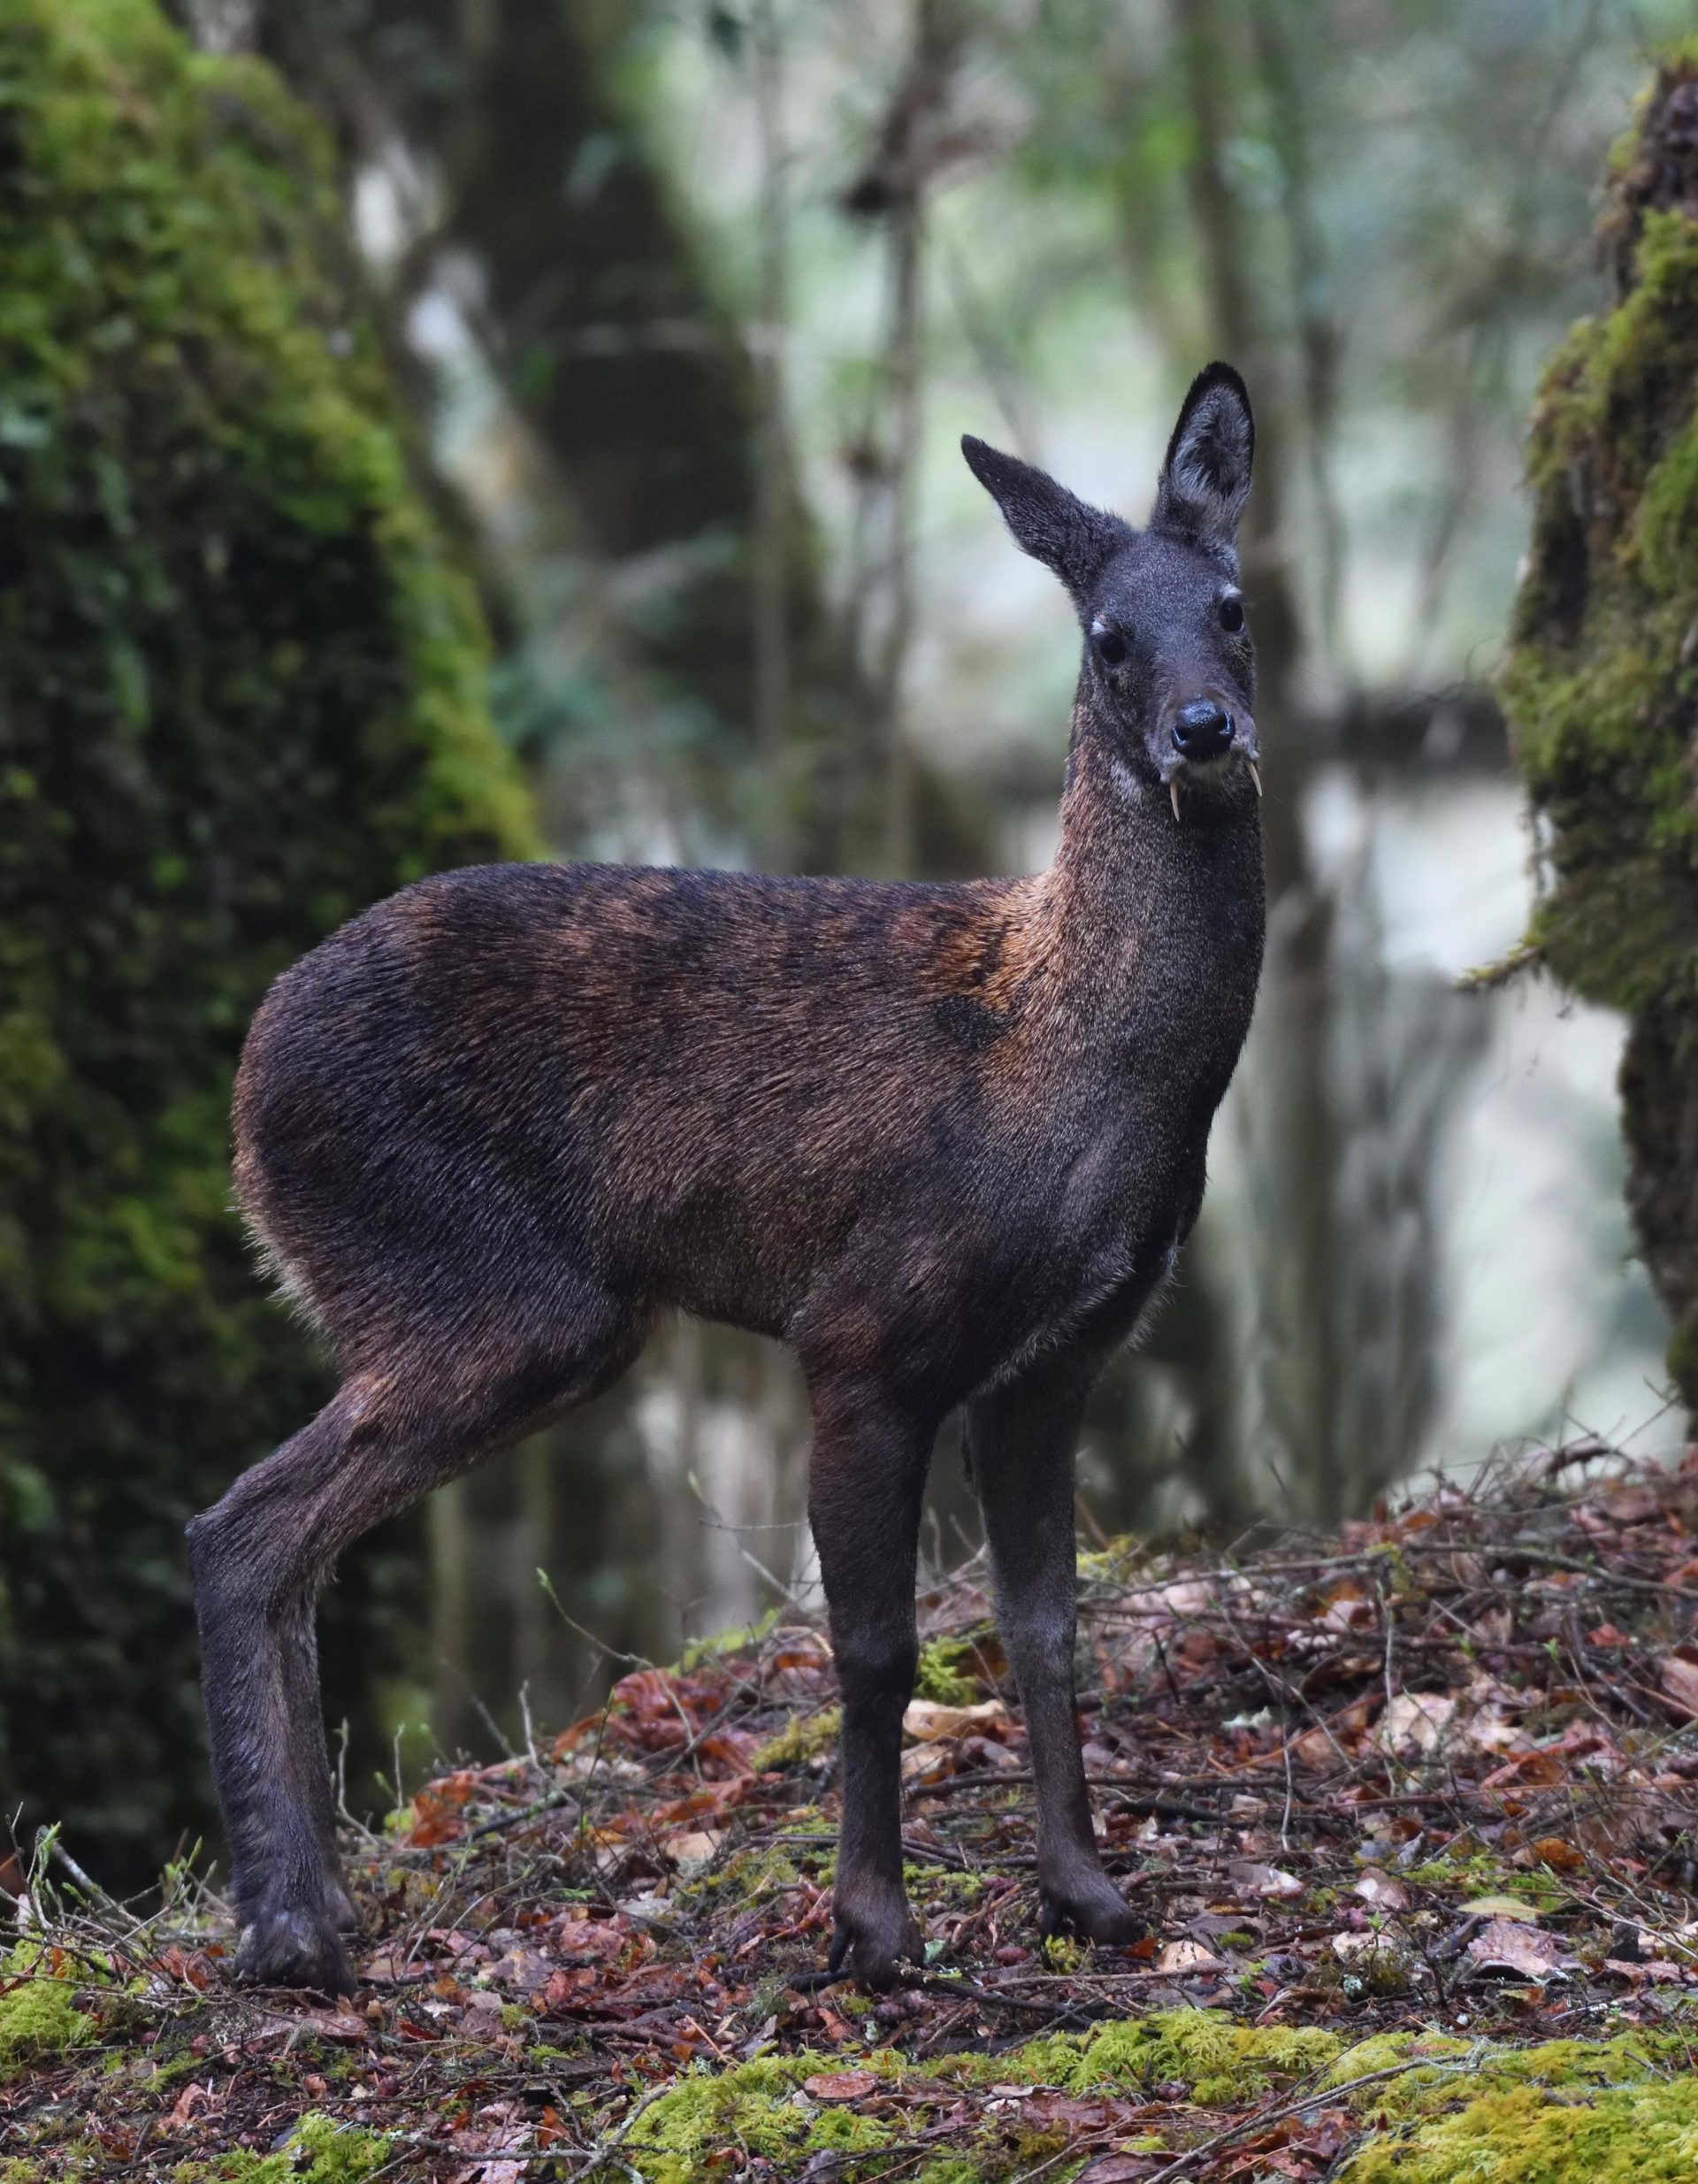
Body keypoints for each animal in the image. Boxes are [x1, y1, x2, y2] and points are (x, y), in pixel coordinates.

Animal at [192, 362, 1266, 2000]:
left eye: (1236, 603)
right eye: (1109, 639)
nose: (1205, 729)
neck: (1073, 1073)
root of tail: (244, 1097)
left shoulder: (1058, 1354)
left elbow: (1046, 1623)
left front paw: (1089, 1895)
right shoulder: (867, 1327)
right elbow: (878, 1645)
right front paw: (874, 1931)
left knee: (273, 1538)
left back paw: (317, 1917)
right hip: (473, 1279)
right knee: (238, 1525)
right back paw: (294, 1930)